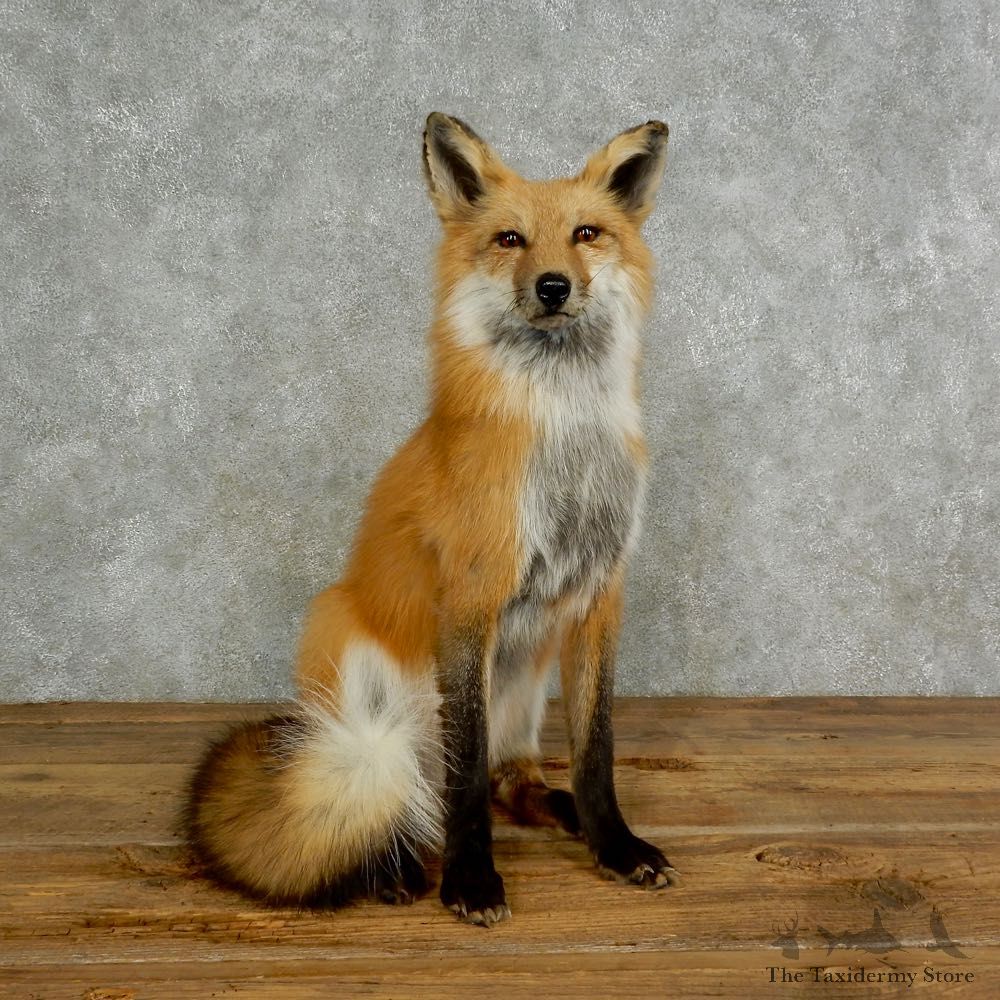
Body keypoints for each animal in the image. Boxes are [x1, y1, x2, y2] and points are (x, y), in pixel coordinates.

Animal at [186, 112, 677, 926]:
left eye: (586, 233)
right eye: (510, 239)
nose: (552, 286)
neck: (566, 440)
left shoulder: (599, 593)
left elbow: (595, 751)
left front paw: (614, 843)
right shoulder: (472, 597)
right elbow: (463, 777)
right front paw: (470, 880)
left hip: (528, 679)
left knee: (510, 781)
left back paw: (556, 809)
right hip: (348, 653)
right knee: (400, 791)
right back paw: (396, 865)